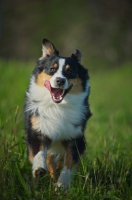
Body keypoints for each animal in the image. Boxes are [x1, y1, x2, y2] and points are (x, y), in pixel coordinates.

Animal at [23, 38, 91, 188]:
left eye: (70, 71)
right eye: (52, 69)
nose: (60, 80)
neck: (58, 106)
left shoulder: (74, 136)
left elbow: (69, 163)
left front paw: (62, 184)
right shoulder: (39, 128)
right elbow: (39, 152)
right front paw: (38, 168)